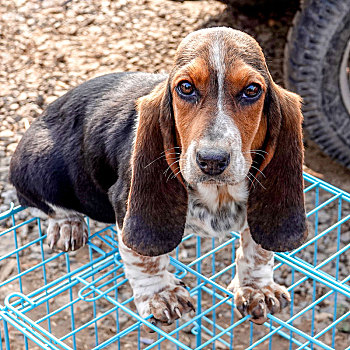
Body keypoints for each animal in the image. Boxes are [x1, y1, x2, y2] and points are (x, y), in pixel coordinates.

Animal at [9, 27, 308, 326]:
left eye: (251, 90)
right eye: (185, 88)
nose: (212, 160)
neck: (217, 193)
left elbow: (258, 249)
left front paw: (257, 288)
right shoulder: (126, 206)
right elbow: (144, 259)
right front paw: (161, 295)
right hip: (39, 164)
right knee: (41, 204)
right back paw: (67, 225)